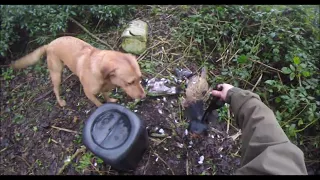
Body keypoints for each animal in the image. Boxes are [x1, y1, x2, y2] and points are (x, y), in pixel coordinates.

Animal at [10, 36, 146, 107]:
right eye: (129, 82)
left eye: (140, 79)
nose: (143, 96)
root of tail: (49, 44)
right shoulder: (89, 93)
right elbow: (99, 103)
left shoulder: (105, 88)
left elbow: (106, 95)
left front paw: (110, 100)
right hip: (56, 73)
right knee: (55, 88)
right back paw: (60, 101)